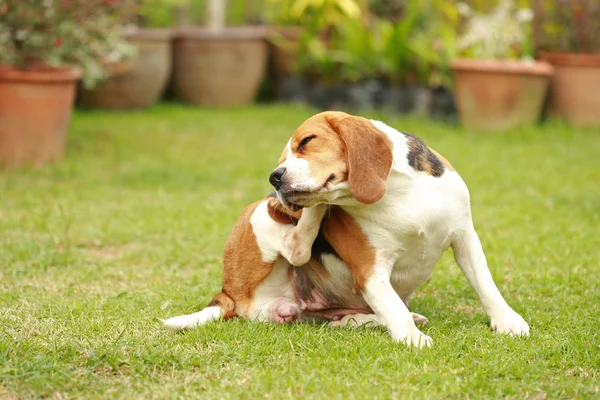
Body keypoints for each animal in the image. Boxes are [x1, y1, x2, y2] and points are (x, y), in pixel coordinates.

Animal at [162, 110, 528, 346]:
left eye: (307, 142)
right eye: (282, 159)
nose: (274, 178)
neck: (399, 193)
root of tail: (226, 294)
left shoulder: (465, 238)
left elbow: (486, 286)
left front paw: (507, 321)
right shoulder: (370, 270)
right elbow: (393, 306)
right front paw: (411, 338)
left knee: (344, 320)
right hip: (258, 213)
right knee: (296, 247)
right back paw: (313, 211)